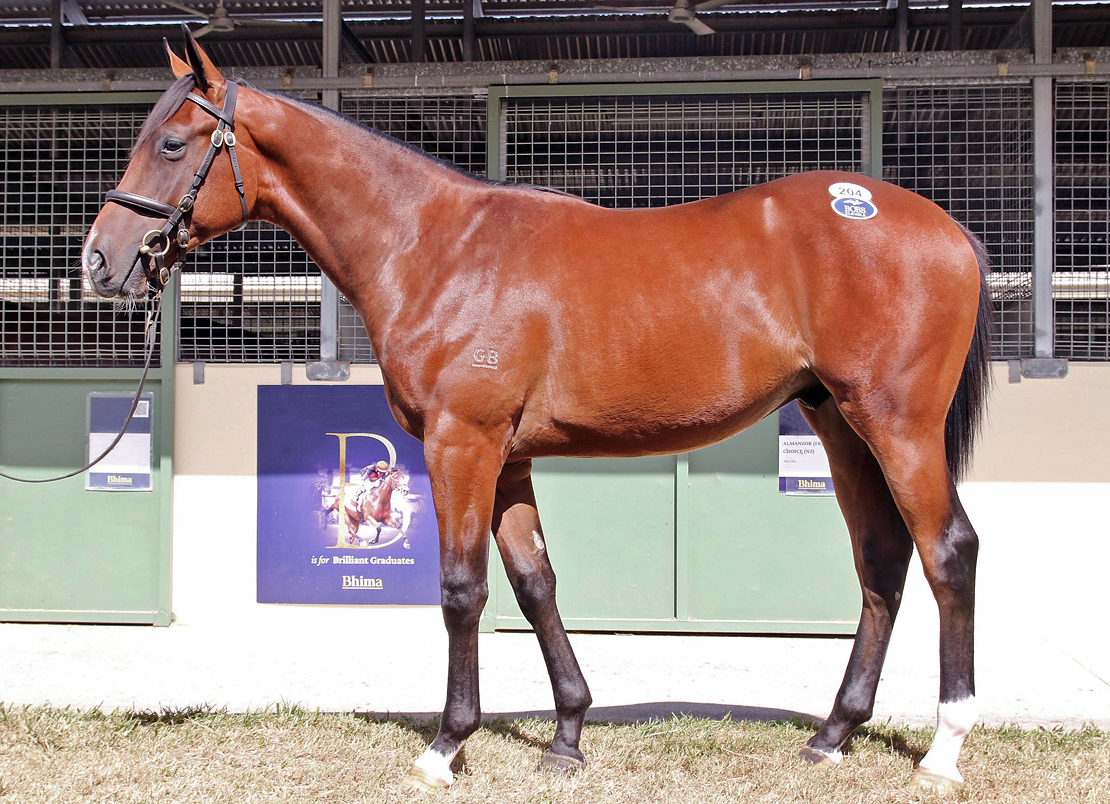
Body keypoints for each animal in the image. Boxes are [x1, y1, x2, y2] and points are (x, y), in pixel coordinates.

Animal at [82, 29, 994, 790]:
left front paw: (446, 746)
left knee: (948, 552)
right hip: (840, 424)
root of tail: (947, 228)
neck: (436, 249)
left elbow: (462, 591)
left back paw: (944, 750)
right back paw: (833, 735)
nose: (98, 261)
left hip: (897, 426)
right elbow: (534, 584)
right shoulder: (508, 457)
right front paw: (566, 737)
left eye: (171, 144)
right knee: (882, 560)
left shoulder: (462, 446)